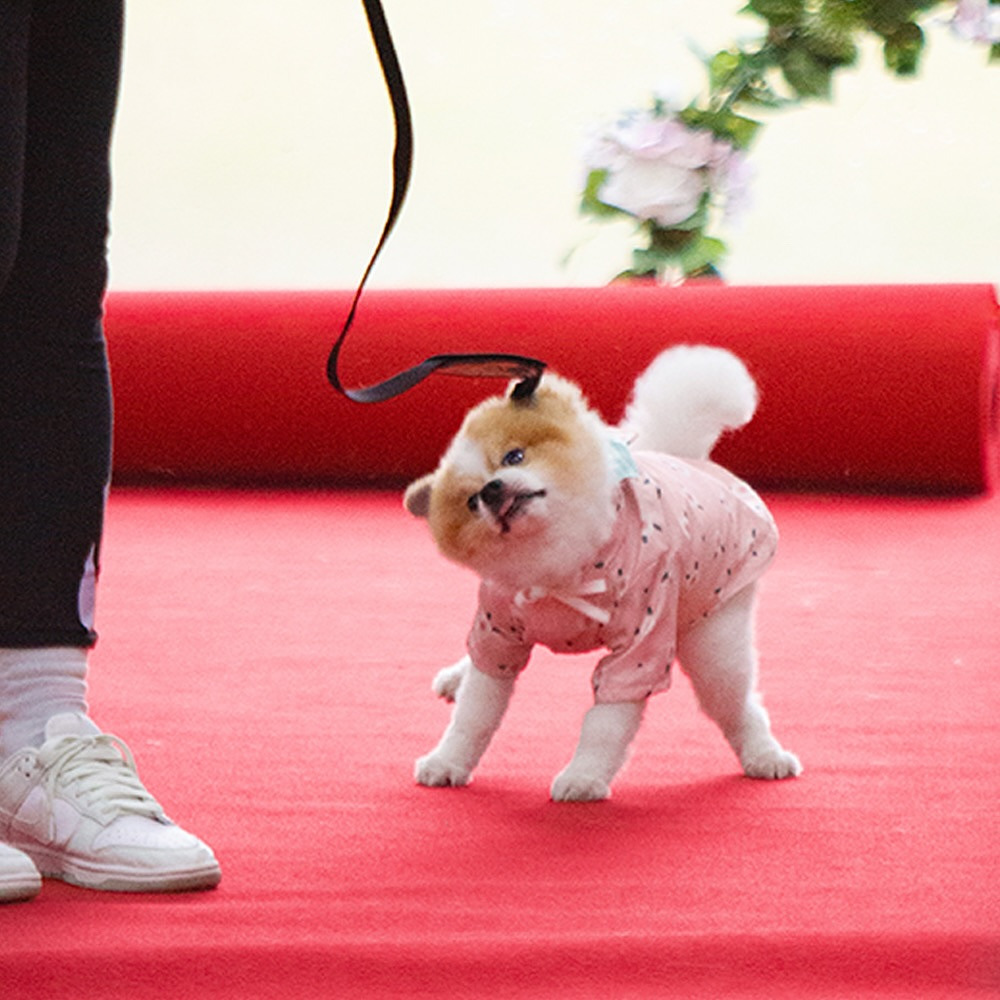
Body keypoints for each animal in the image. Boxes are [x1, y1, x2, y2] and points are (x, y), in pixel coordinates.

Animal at [404, 345, 801, 801]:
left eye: (514, 455)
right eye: (471, 502)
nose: (491, 490)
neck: (558, 564)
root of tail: (684, 456)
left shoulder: (641, 645)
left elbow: (605, 724)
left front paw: (584, 777)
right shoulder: (498, 629)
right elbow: (475, 713)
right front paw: (447, 761)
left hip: (714, 639)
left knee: (736, 703)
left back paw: (764, 755)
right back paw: (457, 675)